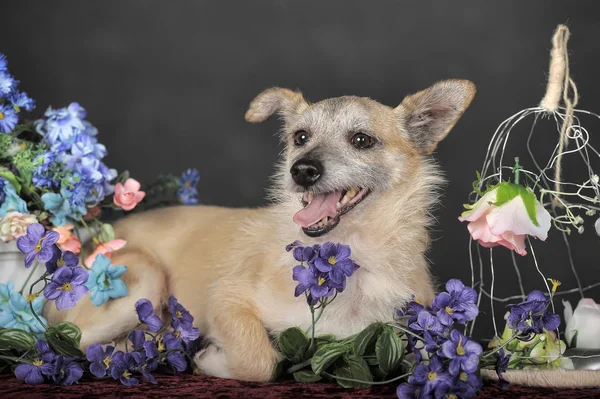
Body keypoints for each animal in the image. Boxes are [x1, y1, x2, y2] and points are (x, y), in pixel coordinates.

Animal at [44, 78, 476, 382]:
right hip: (143, 279)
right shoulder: (226, 299)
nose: (301, 170)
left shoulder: (412, 338)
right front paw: (213, 360)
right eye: (300, 137)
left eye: (361, 140)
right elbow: (261, 360)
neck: (345, 257)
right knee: (60, 341)